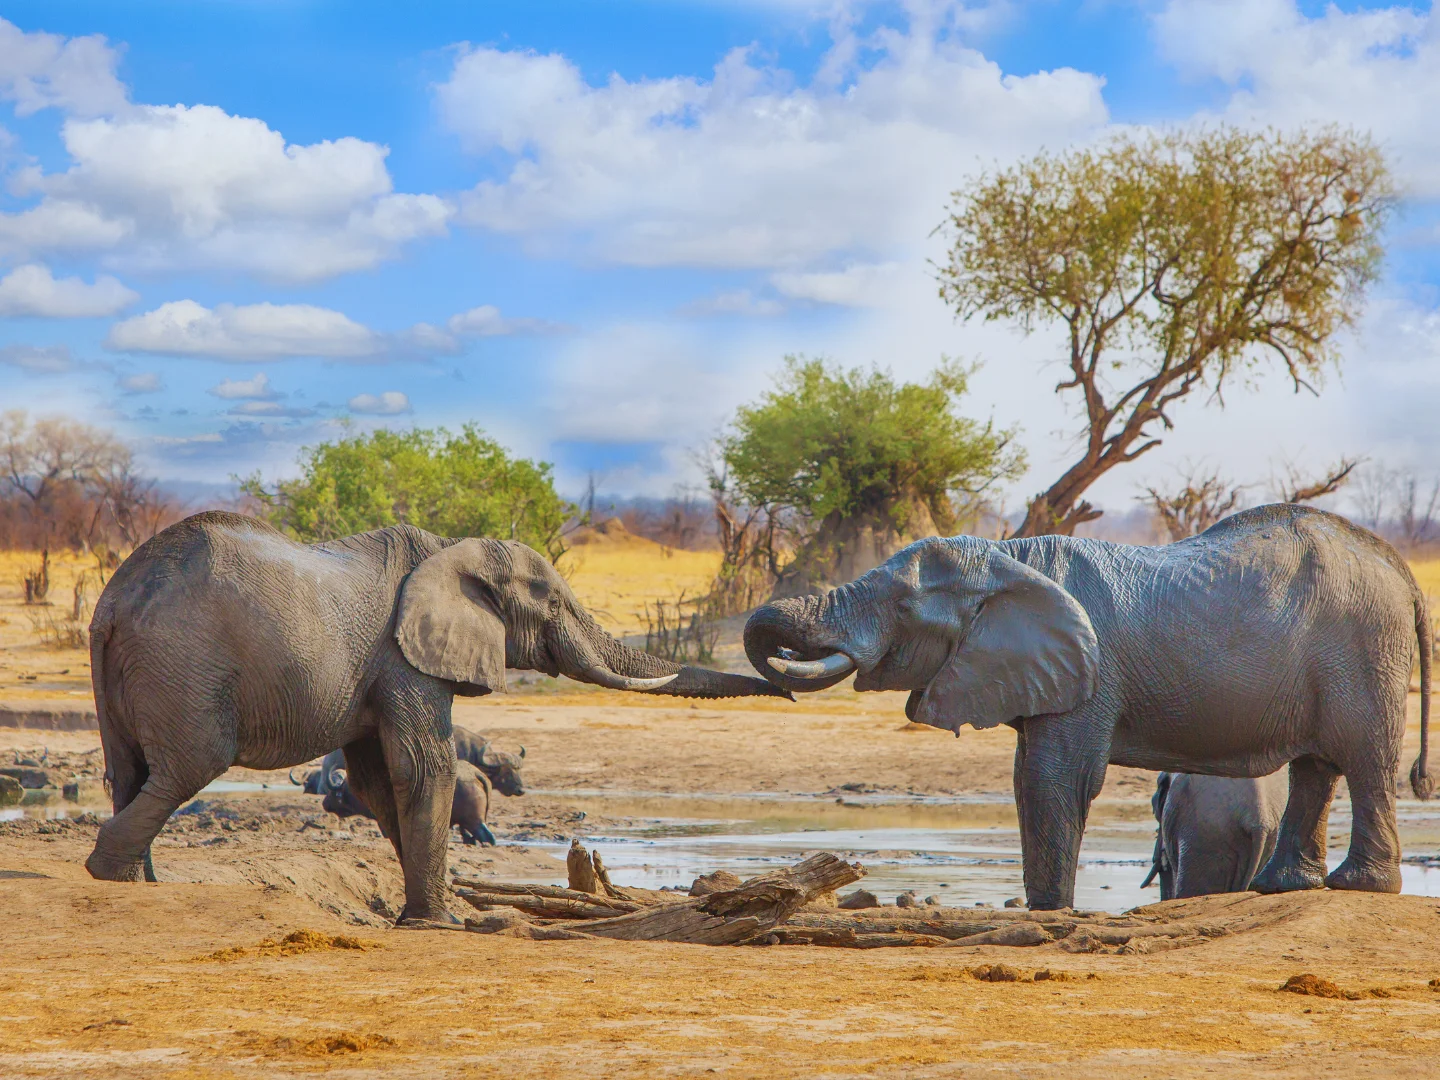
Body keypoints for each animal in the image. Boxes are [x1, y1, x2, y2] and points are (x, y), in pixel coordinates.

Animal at [86, 510, 789, 924]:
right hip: (184, 663)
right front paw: (445, 922)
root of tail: (118, 598)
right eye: (553, 602)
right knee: (188, 766)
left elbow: (378, 779)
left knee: (130, 771)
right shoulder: (407, 657)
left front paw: (431, 912)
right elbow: (424, 765)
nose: (786, 690)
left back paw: (138, 882)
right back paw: (108, 874)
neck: (456, 552)